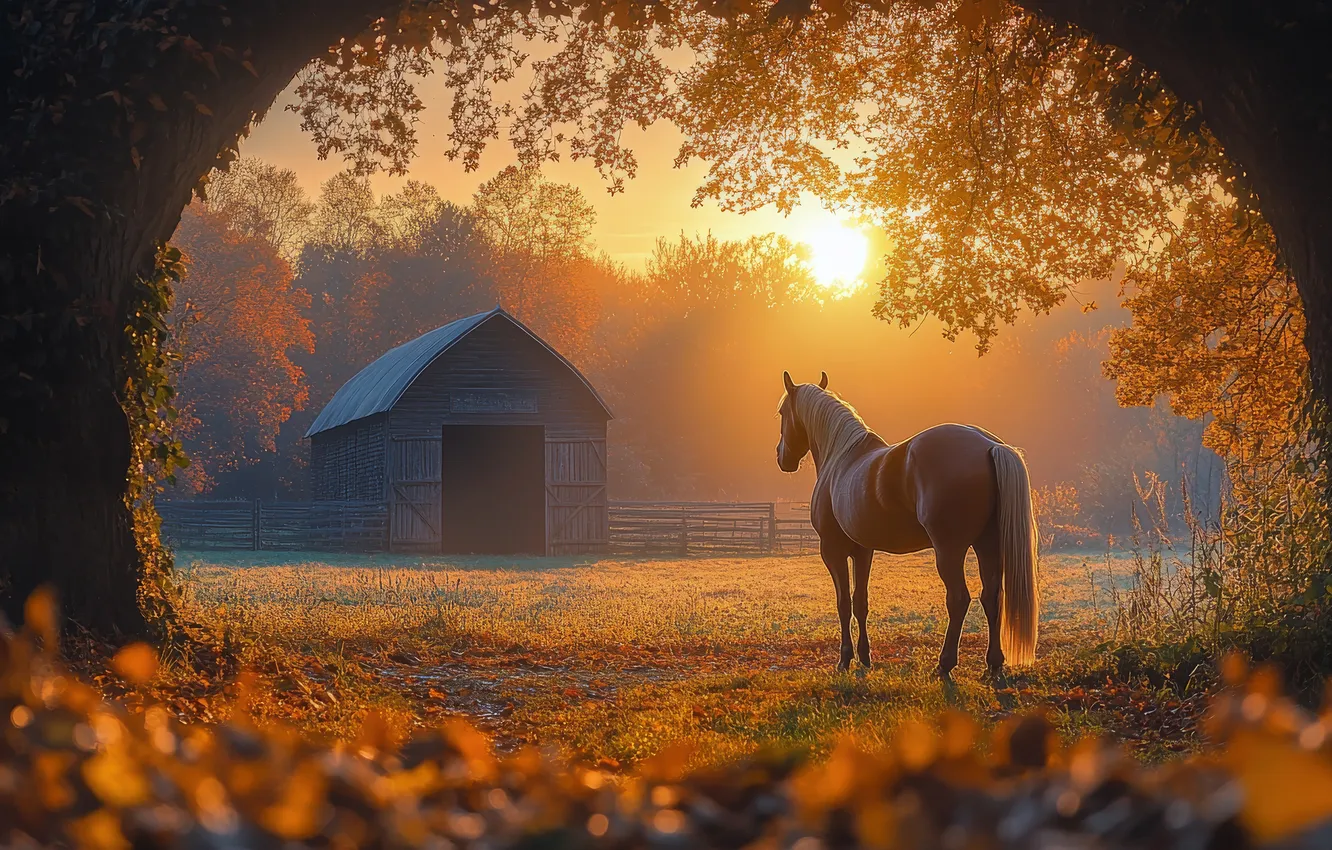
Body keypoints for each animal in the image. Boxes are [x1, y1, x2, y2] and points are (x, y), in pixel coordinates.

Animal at [776, 371, 1038, 676]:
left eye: (782, 412)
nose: (782, 457)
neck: (841, 459)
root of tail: (989, 445)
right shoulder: (863, 551)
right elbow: (860, 602)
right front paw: (865, 658)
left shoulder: (833, 551)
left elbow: (843, 603)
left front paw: (844, 659)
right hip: (987, 544)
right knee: (992, 597)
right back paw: (993, 665)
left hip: (950, 550)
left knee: (959, 599)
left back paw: (945, 665)